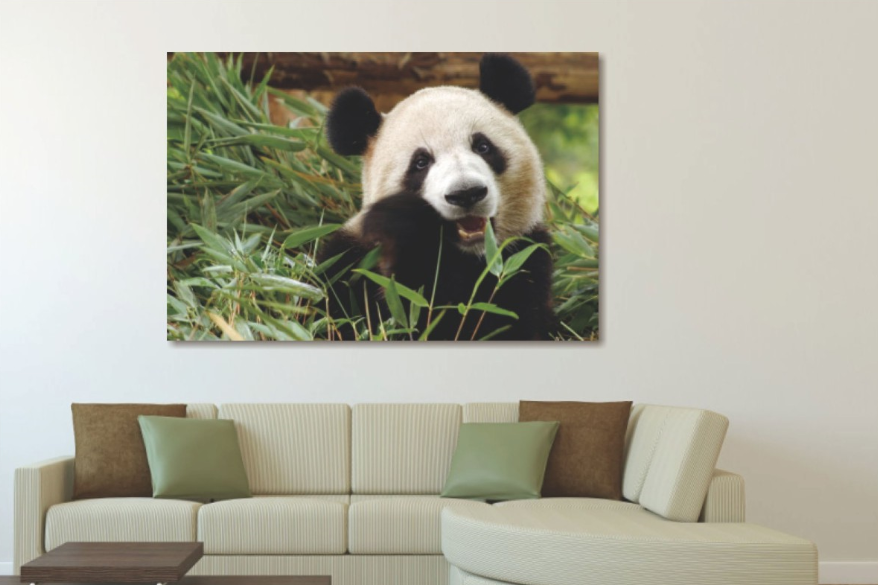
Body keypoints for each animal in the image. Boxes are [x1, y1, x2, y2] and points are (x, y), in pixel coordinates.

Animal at [319, 53, 554, 341]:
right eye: (421, 162)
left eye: (483, 146)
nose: (466, 193)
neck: (468, 256)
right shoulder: (350, 264)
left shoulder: (523, 257)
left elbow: (500, 321)